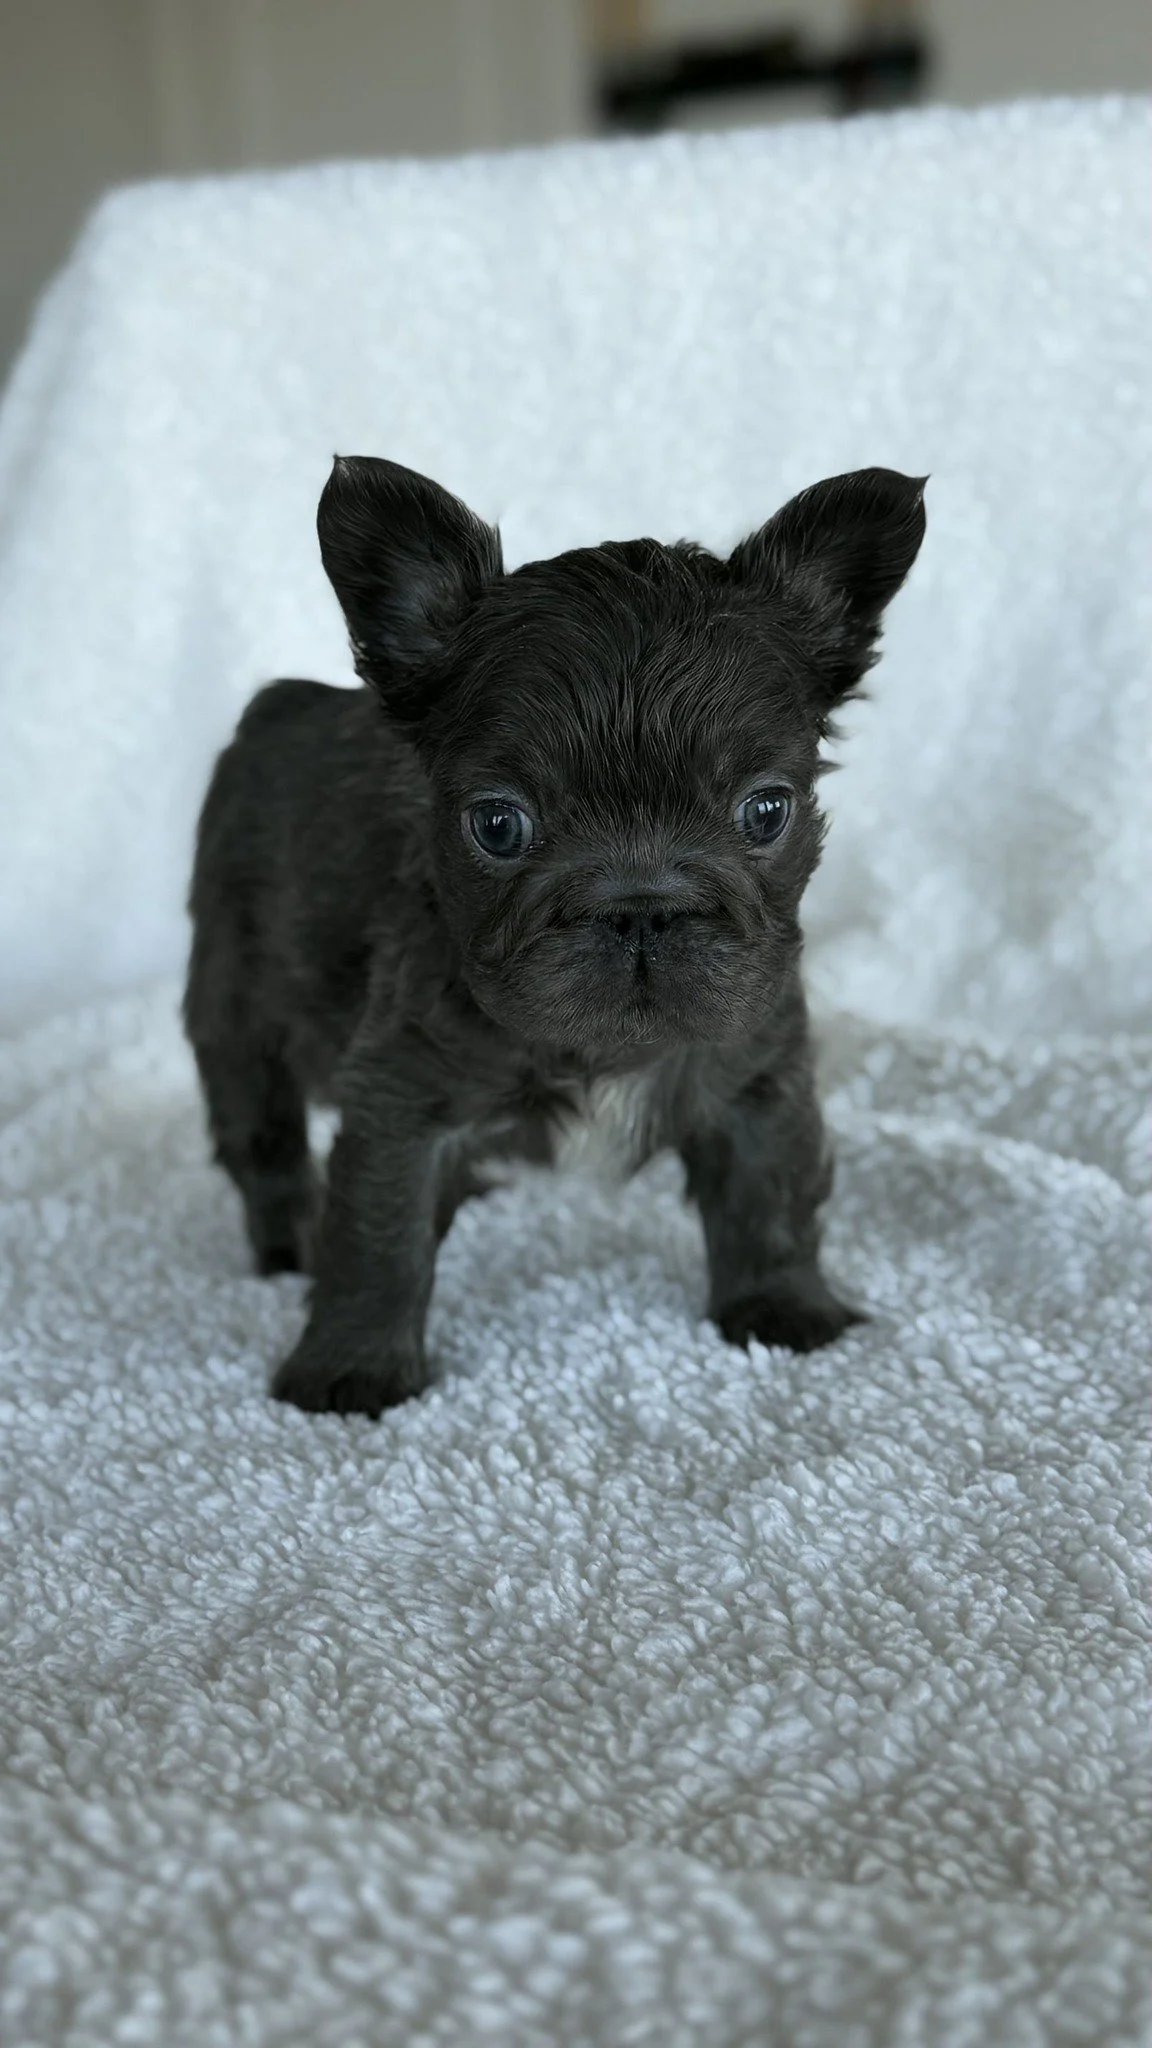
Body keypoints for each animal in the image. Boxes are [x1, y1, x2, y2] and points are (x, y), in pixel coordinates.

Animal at [185, 456, 926, 1416]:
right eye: (498, 825)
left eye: (766, 811)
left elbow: (771, 1193)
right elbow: (379, 1237)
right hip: (233, 1000)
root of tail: (276, 710)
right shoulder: (399, 1097)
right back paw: (284, 1251)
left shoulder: (759, 1073)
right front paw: (352, 1369)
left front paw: (783, 1307)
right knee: (263, 1141)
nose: (641, 906)